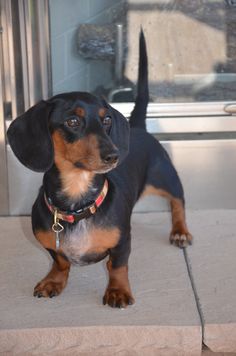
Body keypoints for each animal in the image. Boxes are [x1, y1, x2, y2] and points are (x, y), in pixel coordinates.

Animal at [6, 29, 192, 308]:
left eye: (106, 120)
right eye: (72, 121)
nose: (114, 156)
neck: (78, 205)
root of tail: (137, 127)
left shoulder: (123, 242)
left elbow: (118, 266)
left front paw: (118, 291)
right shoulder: (50, 244)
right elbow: (60, 261)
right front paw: (53, 281)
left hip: (165, 177)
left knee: (178, 200)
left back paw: (180, 231)